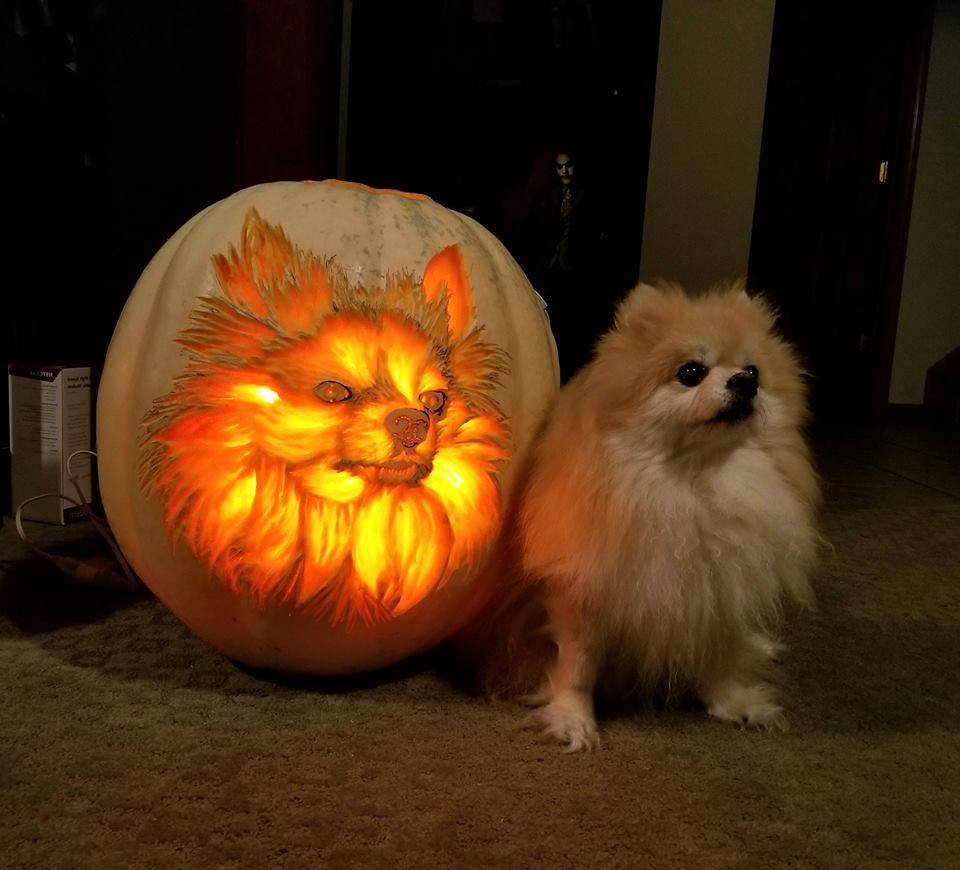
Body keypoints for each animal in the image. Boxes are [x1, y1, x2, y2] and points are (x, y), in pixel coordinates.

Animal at [516, 282, 816, 748]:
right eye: (691, 372)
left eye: (754, 371)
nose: (744, 382)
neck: (694, 485)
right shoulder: (583, 594)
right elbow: (577, 666)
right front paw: (572, 719)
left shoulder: (718, 589)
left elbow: (719, 654)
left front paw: (734, 701)